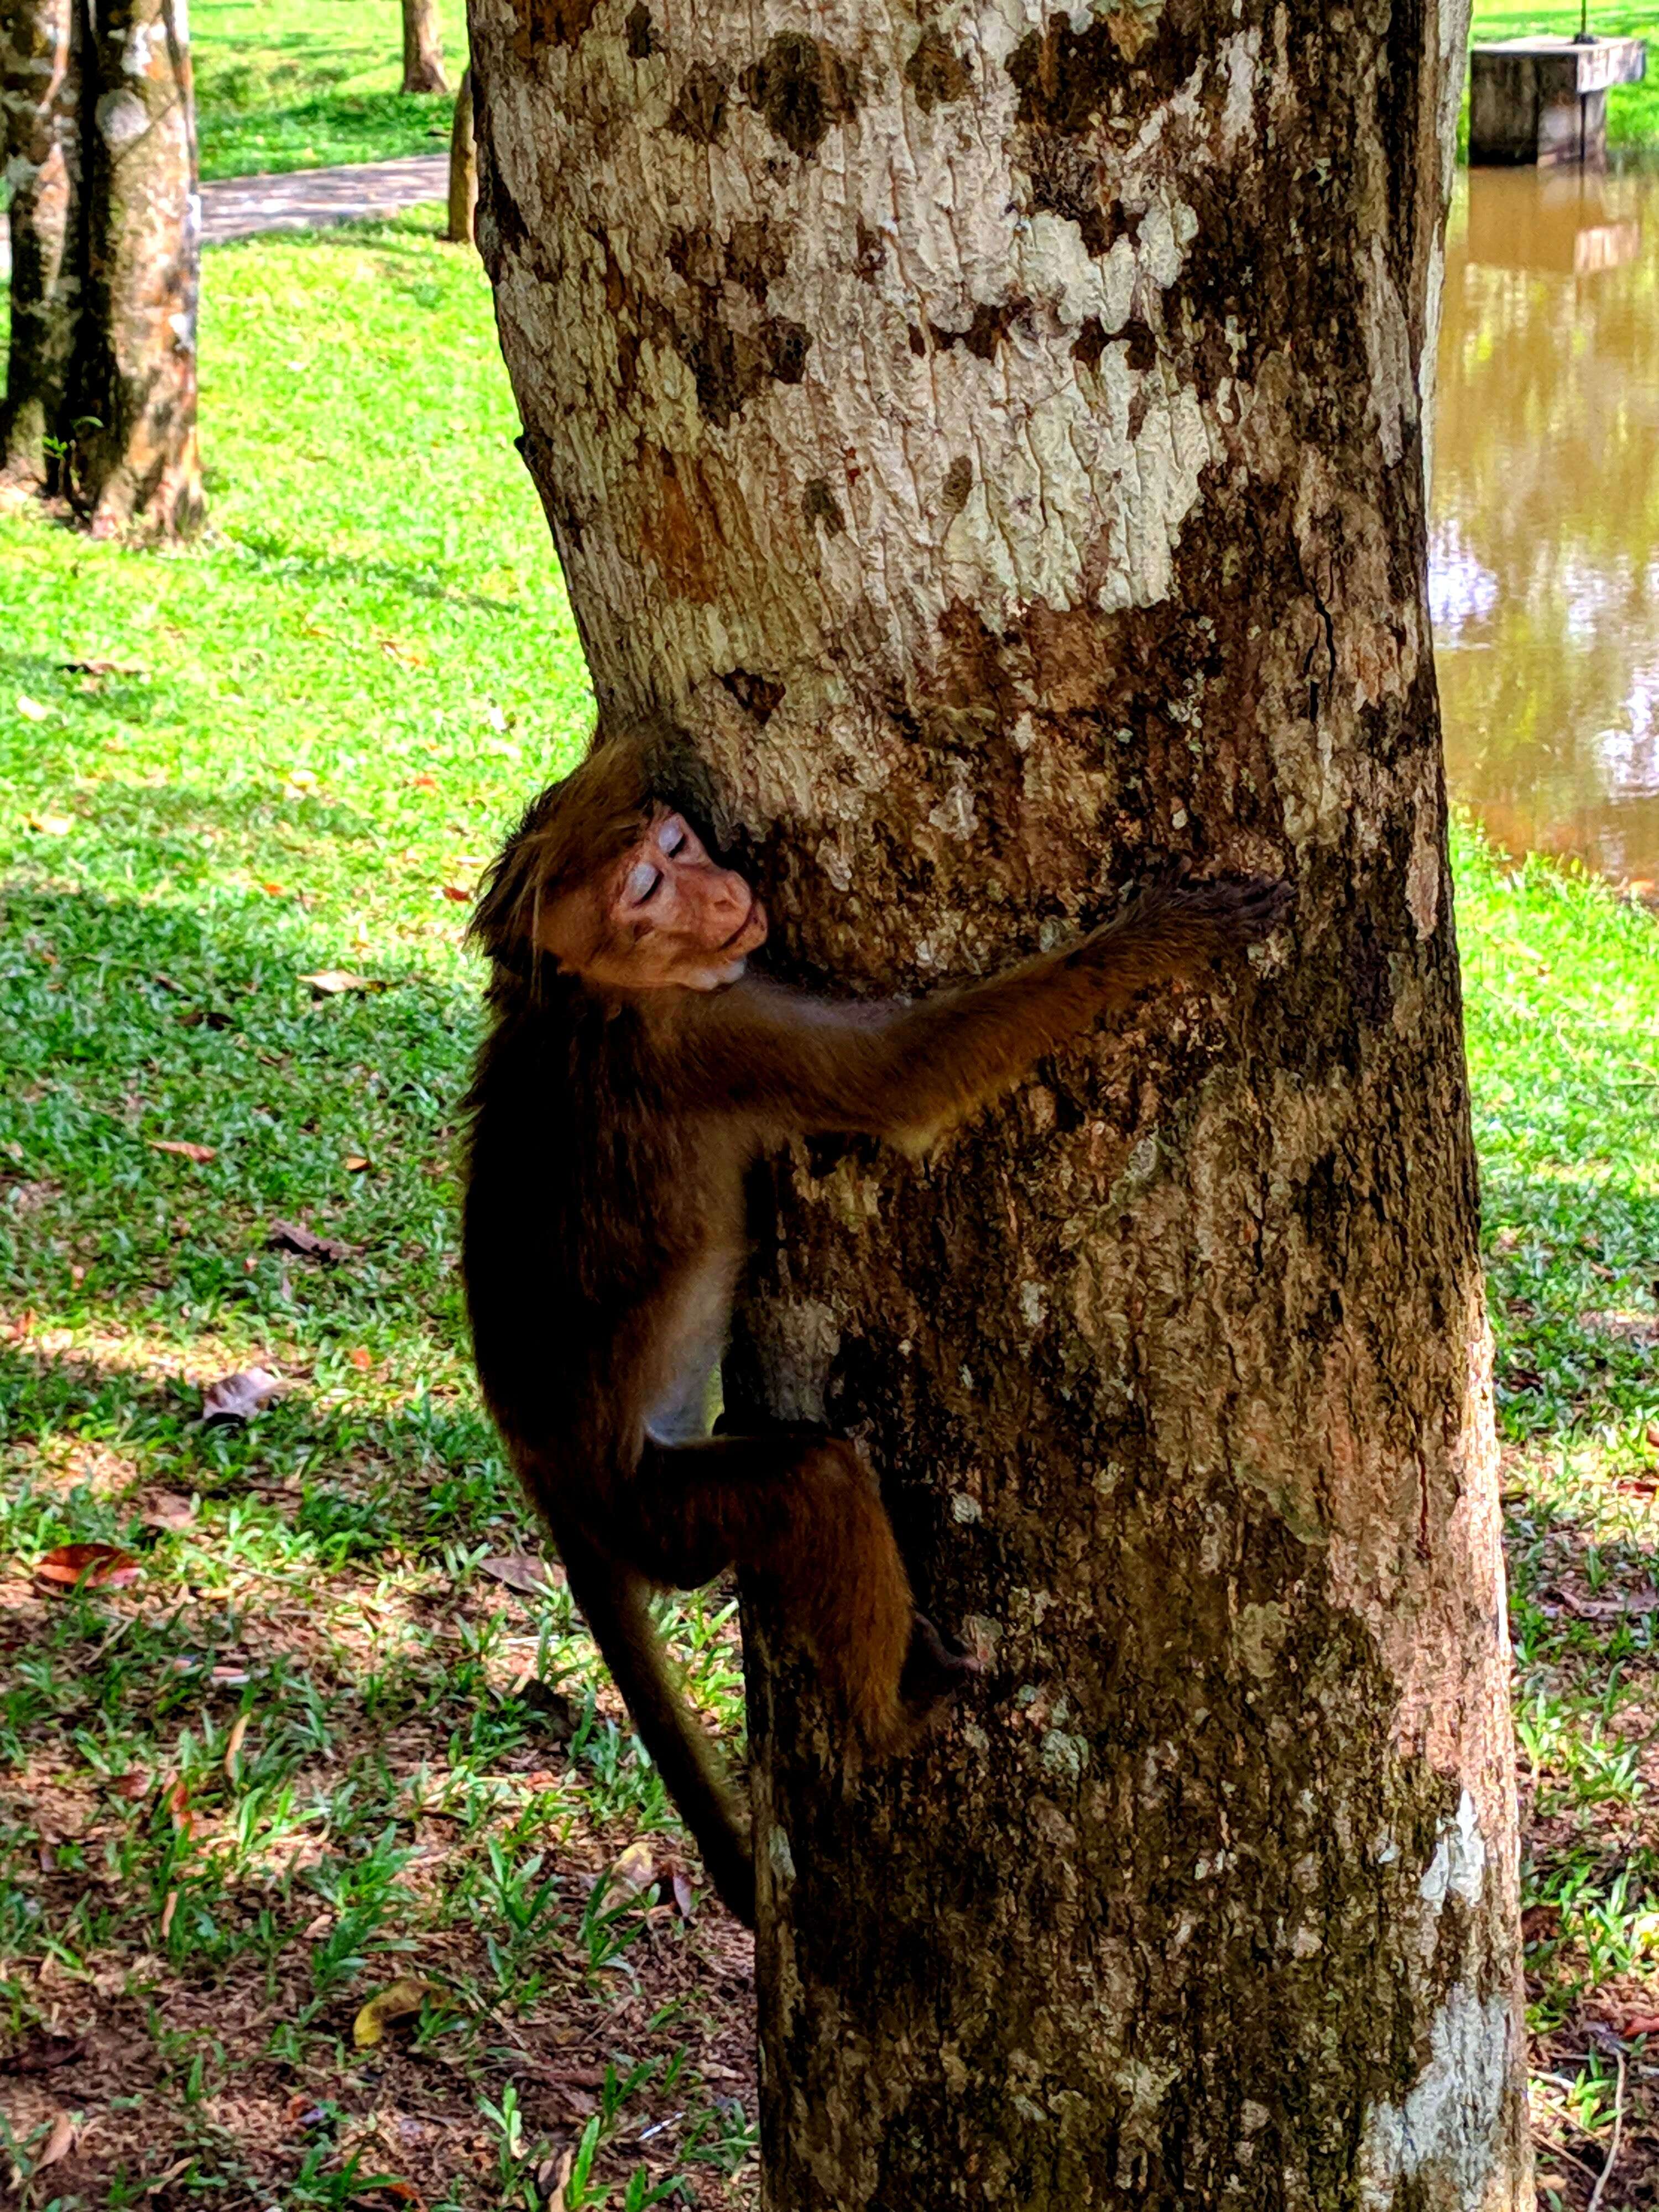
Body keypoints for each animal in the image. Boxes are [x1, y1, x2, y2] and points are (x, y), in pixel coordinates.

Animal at [462, 721, 1292, 1920]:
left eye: (672, 845)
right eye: (647, 889)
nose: (723, 894)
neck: (590, 1006)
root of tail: (553, 1485)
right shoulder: (718, 1037)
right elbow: (903, 1081)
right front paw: (1153, 942)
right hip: (661, 1516)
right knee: (816, 1483)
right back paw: (886, 1716)